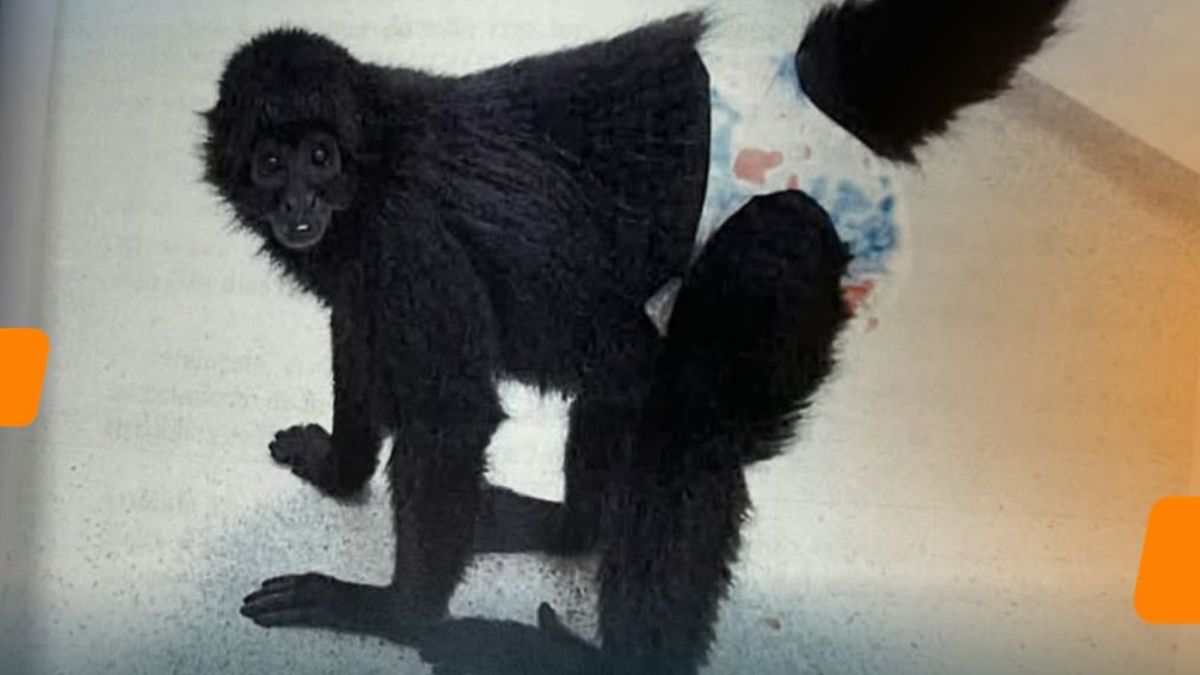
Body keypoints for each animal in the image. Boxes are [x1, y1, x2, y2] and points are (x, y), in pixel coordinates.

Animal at [201, 2, 1071, 673]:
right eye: (271, 164)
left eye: (322, 157)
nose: (300, 204)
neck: (377, 161)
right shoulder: (365, 271)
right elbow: (355, 334)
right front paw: (337, 468)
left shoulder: (403, 237)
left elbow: (453, 419)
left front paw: (387, 613)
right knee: (627, 379)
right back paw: (561, 528)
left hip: (779, 243)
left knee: (686, 432)